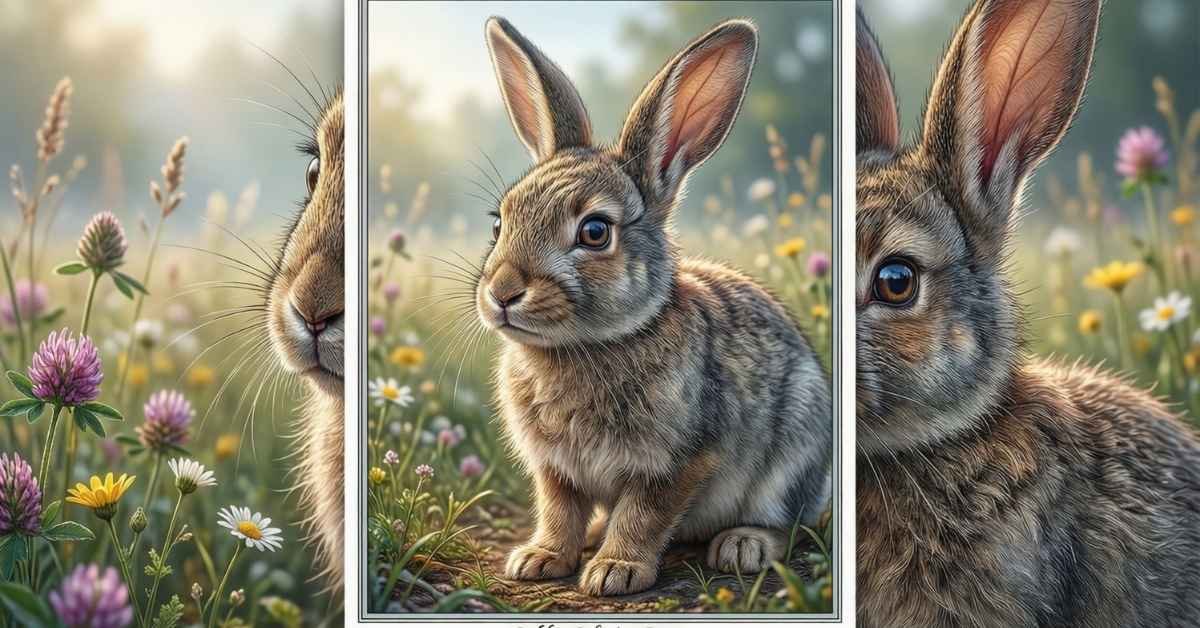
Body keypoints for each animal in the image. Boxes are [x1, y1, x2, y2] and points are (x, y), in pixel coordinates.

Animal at [475, 16, 832, 597]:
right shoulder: (555, 470)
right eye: (499, 222)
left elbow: (643, 515)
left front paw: (614, 572)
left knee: (789, 521)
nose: (502, 292)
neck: (590, 345)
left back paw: (743, 545)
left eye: (595, 232)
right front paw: (540, 558)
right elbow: (559, 512)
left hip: (795, 450)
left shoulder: (678, 462)